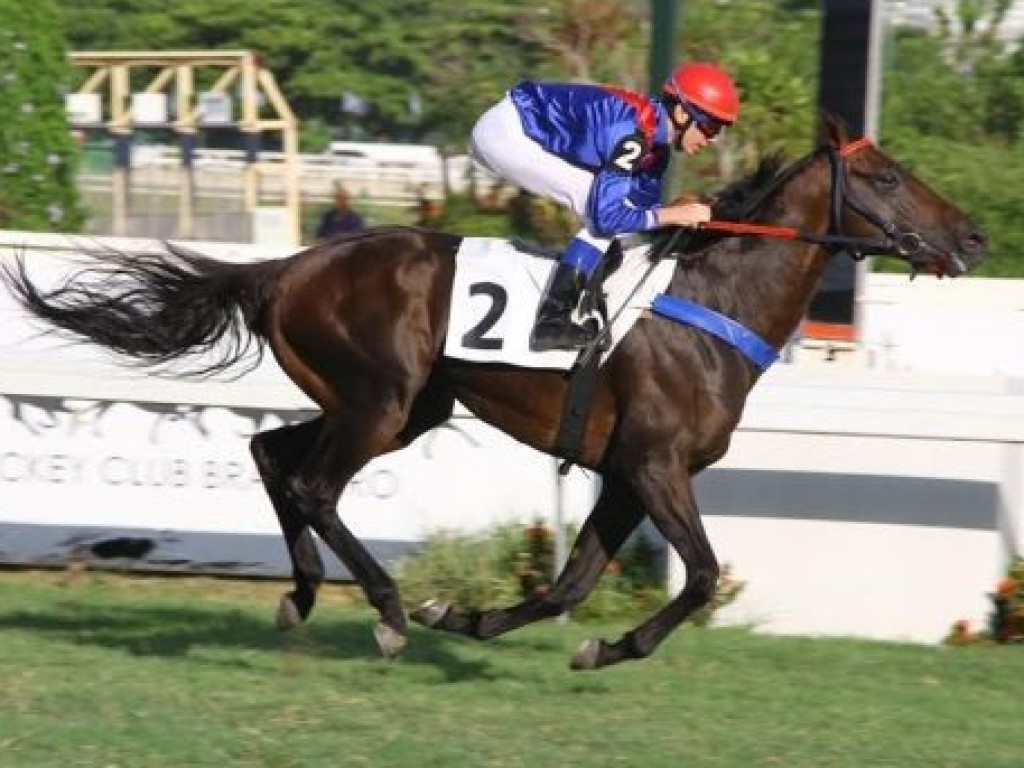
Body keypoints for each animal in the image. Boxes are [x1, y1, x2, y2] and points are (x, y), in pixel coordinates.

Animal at [4, 117, 987, 671]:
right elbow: (705, 574)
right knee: (313, 484)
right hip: (382, 401)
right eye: (887, 177)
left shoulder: (625, 474)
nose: (974, 235)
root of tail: (289, 265)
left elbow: (569, 586)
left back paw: (305, 595)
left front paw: (489, 622)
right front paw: (603, 645)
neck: (712, 303)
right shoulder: (656, 465)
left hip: (402, 406)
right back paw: (387, 612)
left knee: (268, 454)